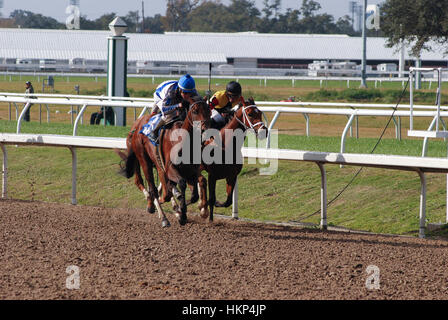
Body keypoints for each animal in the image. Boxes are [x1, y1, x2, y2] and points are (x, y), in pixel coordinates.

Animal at [118, 95, 211, 228]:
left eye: (209, 110)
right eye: (195, 111)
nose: (206, 129)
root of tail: (137, 127)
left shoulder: (191, 170)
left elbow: (194, 194)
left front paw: (185, 210)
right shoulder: (170, 168)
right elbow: (179, 185)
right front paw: (181, 212)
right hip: (144, 161)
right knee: (151, 188)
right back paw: (163, 217)